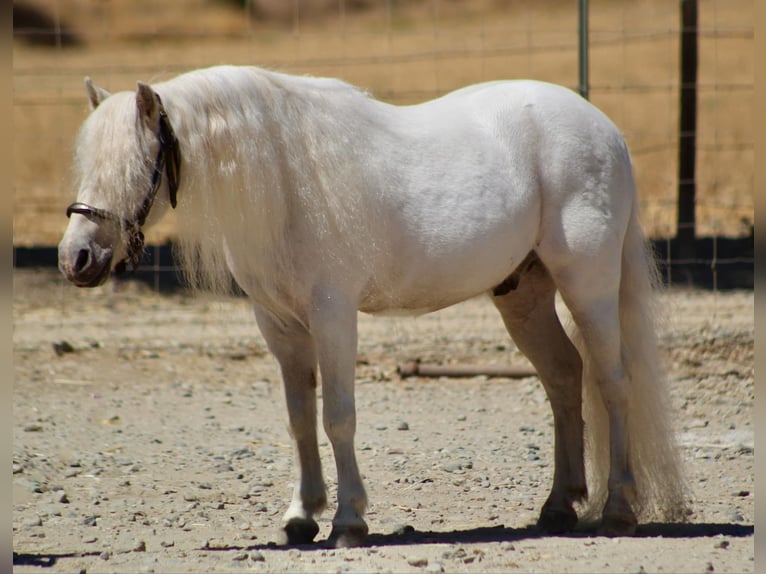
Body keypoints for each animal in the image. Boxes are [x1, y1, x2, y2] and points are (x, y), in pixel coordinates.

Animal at [57, 64, 688, 548]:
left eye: (137, 166)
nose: (76, 259)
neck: (288, 183)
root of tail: (604, 128)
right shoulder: (280, 326)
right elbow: (299, 418)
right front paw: (300, 516)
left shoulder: (333, 316)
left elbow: (337, 415)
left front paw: (348, 522)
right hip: (525, 295)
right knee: (563, 377)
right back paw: (559, 505)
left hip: (589, 284)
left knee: (612, 381)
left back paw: (618, 509)